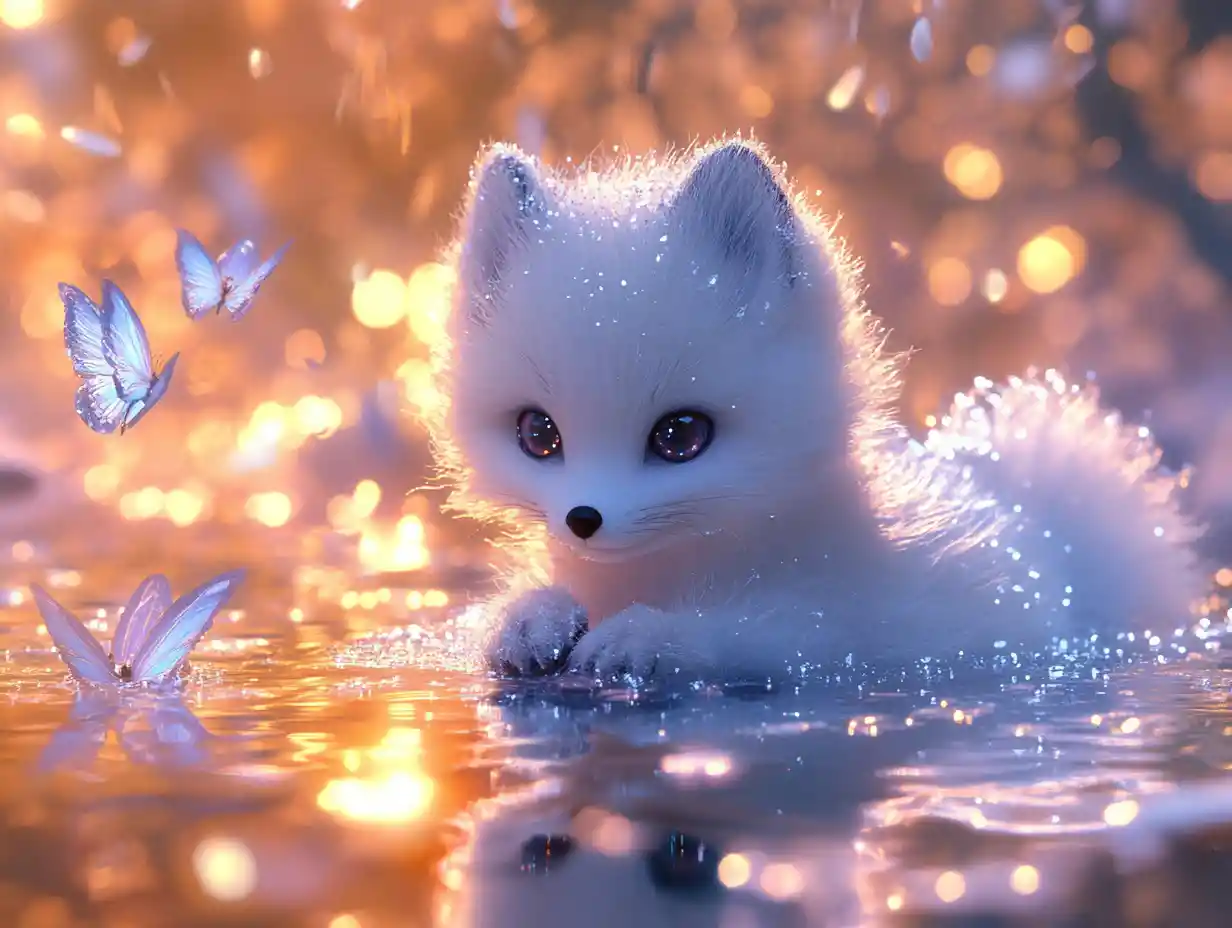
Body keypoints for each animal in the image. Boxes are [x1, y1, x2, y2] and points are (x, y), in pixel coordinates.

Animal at [420, 136, 1209, 684]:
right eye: (538, 433)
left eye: (680, 436)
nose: (584, 519)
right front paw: (529, 621)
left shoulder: (872, 627)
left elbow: (776, 630)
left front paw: (648, 636)